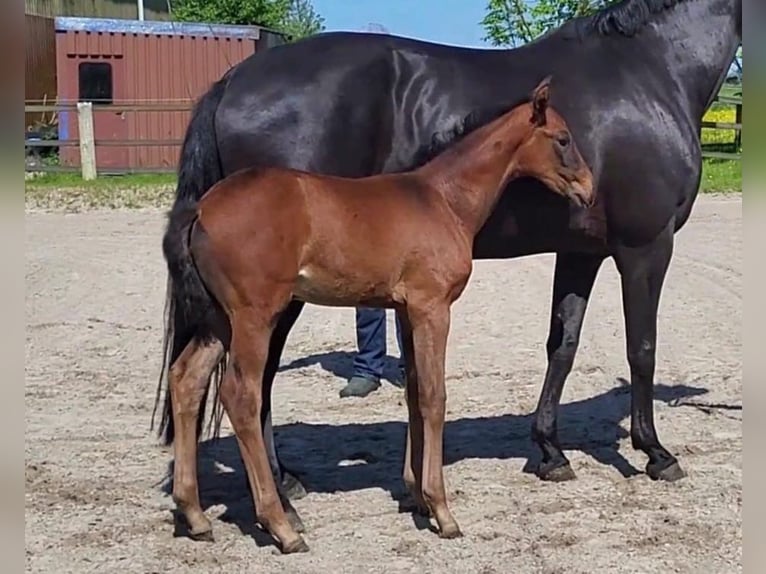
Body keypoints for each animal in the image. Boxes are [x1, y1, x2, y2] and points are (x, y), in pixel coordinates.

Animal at [162, 79, 592, 556]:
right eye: (563, 139)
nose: (589, 188)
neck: (443, 199)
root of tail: (202, 209)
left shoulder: (406, 310)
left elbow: (415, 393)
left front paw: (417, 496)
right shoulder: (432, 308)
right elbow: (435, 398)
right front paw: (443, 512)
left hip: (221, 319)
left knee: (186, 379)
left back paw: (195, 515)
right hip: (255, 317)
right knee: (241, 395)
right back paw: (281, 526)